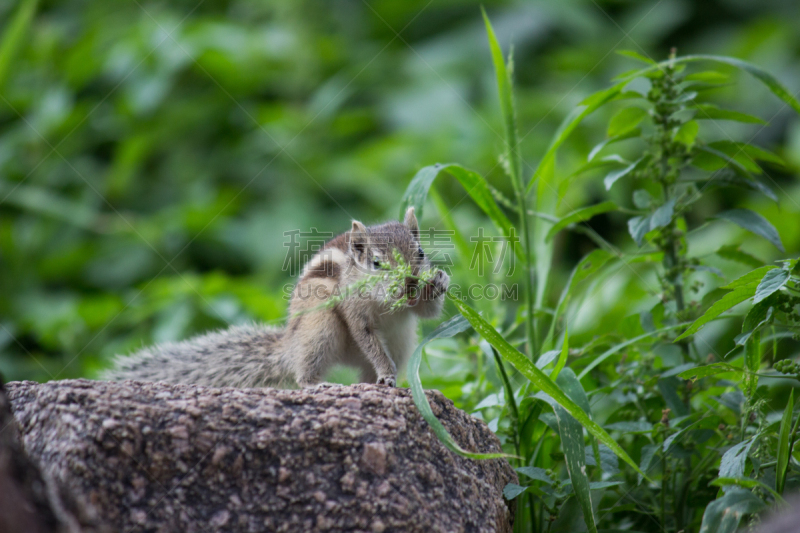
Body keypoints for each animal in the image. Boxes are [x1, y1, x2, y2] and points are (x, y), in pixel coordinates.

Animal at [101, 207, 450, 386]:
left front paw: (438, 281)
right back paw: (320, 383)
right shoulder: (353, 310)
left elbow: (426, 313)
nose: (410, 282)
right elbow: (367, 338)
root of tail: (289, 347)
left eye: (420, 253)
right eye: (377, 264)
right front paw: (386, 372)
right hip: (320, 328)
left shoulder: (409, 312)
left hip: (402, 341)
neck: (384, 302)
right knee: (304, 372)